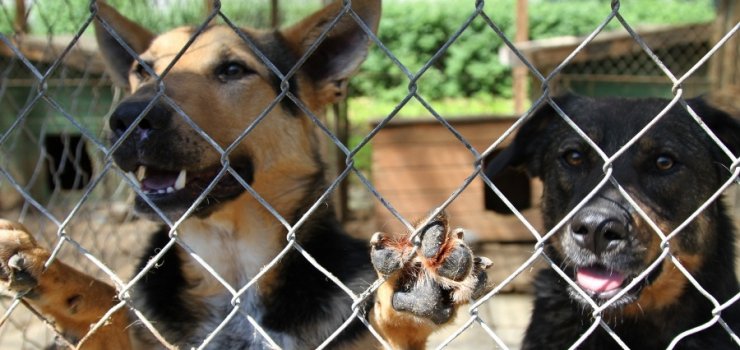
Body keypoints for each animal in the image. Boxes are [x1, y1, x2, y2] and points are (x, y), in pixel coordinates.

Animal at [0, 1, 488, 348]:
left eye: (233, 69)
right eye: (142, 69)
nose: (125, 118)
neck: (234, 267)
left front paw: (412, 293)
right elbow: (106, 302)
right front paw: (48, 268)